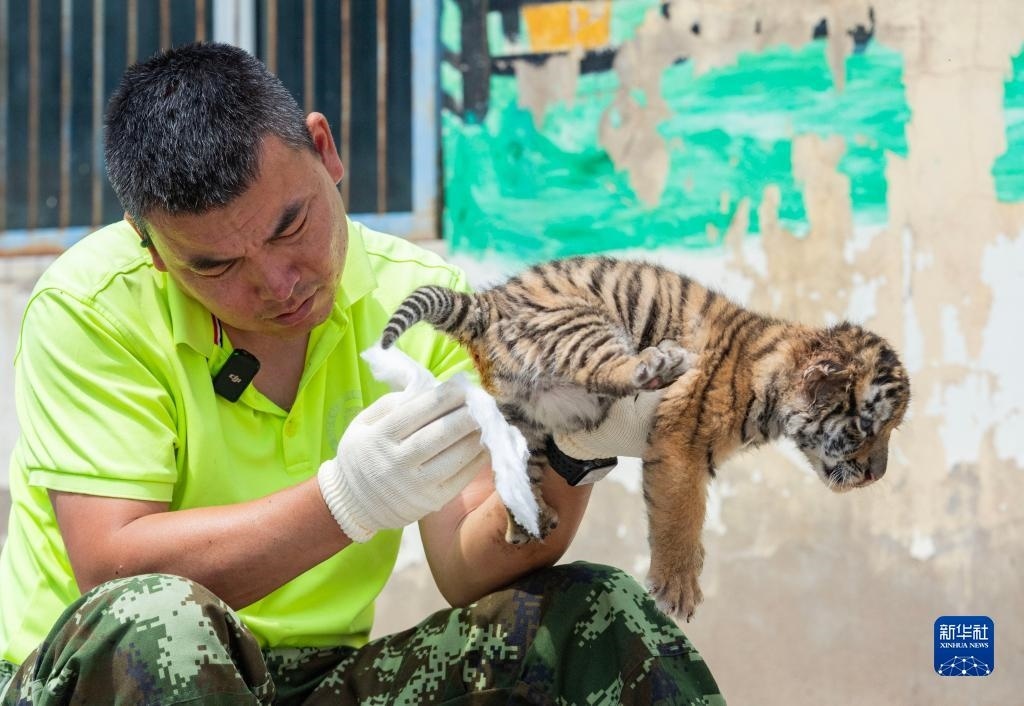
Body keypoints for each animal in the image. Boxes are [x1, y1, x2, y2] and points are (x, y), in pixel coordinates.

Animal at [380, 256, 910, 620]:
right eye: (867, 428)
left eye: (890, 431)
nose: (877, 474)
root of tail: (486, 304)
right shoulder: (682, 445)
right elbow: (681, 515)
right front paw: (677, 589)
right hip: (583, 324)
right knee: (617, 368)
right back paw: (665, 361)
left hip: (524, 417)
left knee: (515, 469)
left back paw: (527, 520)